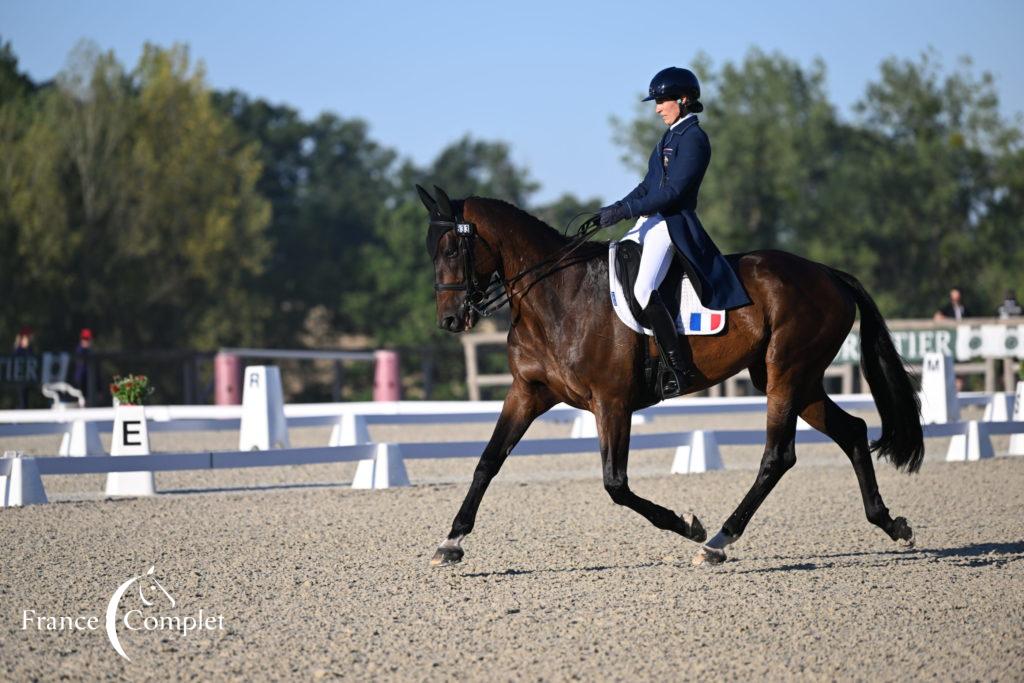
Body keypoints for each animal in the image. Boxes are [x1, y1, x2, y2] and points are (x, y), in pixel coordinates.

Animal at [415, 185, 921, 565]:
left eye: (454, 247)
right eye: (431, 250)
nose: (450, 320)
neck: (556, 295)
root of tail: (829, 274)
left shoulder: (611, 401)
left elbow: (616, 484)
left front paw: (687, 525)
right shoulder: (528, 393)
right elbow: (487, 461)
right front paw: (450, 541)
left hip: (787, 374)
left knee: (778, 456)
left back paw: (717, 542)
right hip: (797, 379)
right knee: (851, 430)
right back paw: (891, 524)